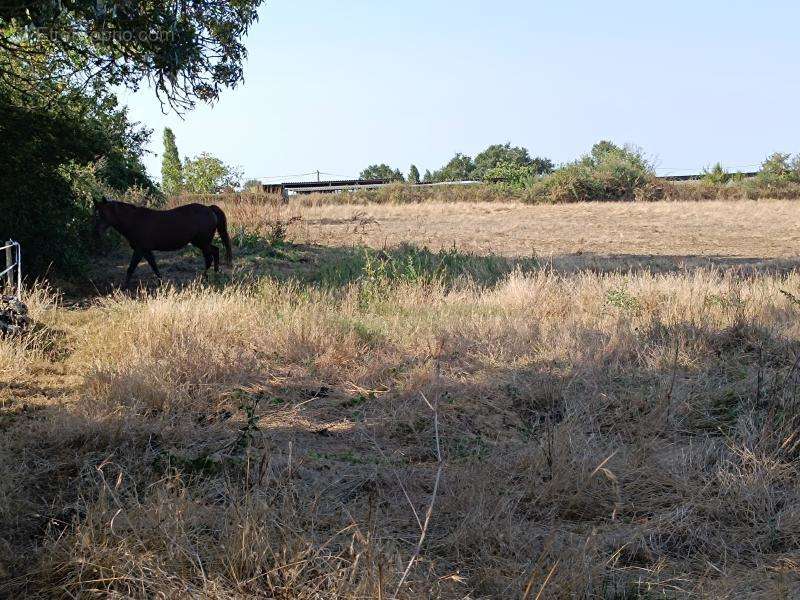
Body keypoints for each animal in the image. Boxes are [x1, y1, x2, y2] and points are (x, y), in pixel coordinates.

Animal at [94, 198, 233, 288]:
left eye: (102, 213)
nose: (97, 231)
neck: (134, 221)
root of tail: (210, 209)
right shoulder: (146, 250)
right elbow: (154, 266)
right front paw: (162, 283)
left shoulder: (139, 250)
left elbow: (131, 268)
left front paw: (123, 288)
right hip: (200, 242)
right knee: (215, 251)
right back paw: (215, 274)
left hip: (202, 242)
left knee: (210, 257)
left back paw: (204, 278)